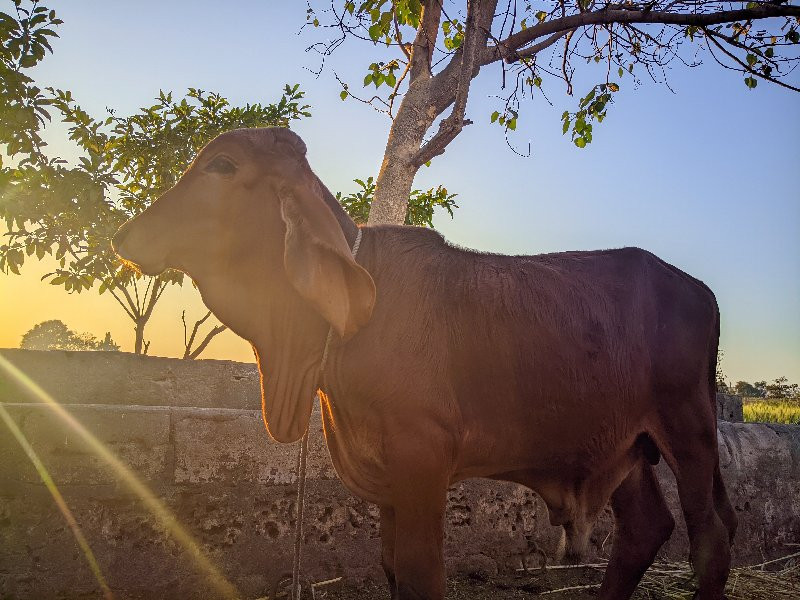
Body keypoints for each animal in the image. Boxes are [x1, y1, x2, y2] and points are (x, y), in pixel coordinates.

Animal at [112, 127, 736, 600]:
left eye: (223, 165)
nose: (124, 235)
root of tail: (697, 289)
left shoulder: (423, 460)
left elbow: (419, 575)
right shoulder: (387, 477)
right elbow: (393, 571)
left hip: (688, 428)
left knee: (711, 540)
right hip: (626, 446)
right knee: (646, 529)